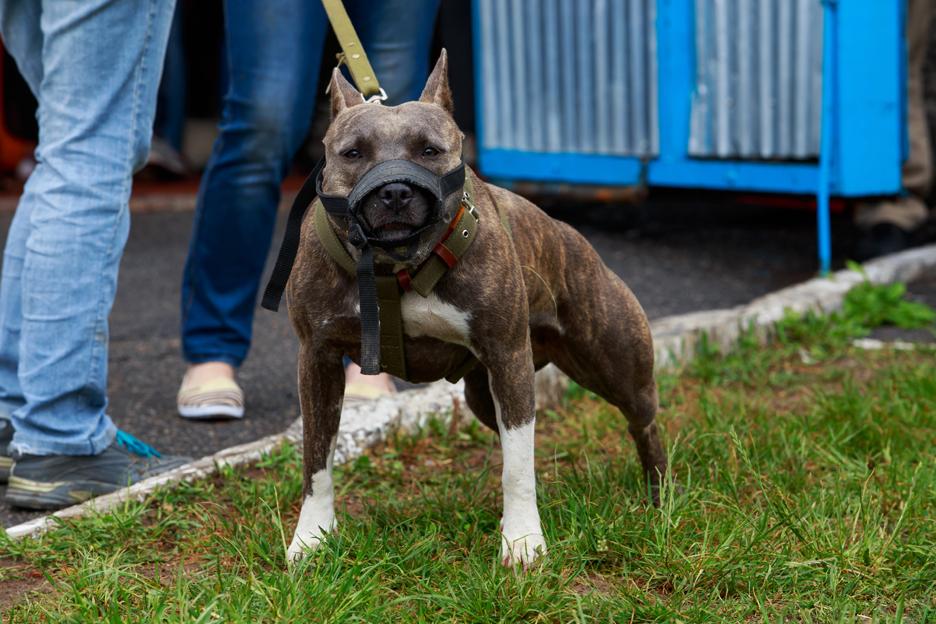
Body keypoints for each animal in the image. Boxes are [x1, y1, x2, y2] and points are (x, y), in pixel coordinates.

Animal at [286, 52, 664, 564]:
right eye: (353, 153)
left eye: (429, 150)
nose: (395, 193)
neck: (395, 267)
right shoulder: (318, 360)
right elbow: (316, 460)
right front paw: (311, 539)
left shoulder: (508, 357)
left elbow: (517, 466)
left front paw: (523, 541)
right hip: (483, 396)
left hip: (616, 366)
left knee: (644, 422)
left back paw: (661, 497)